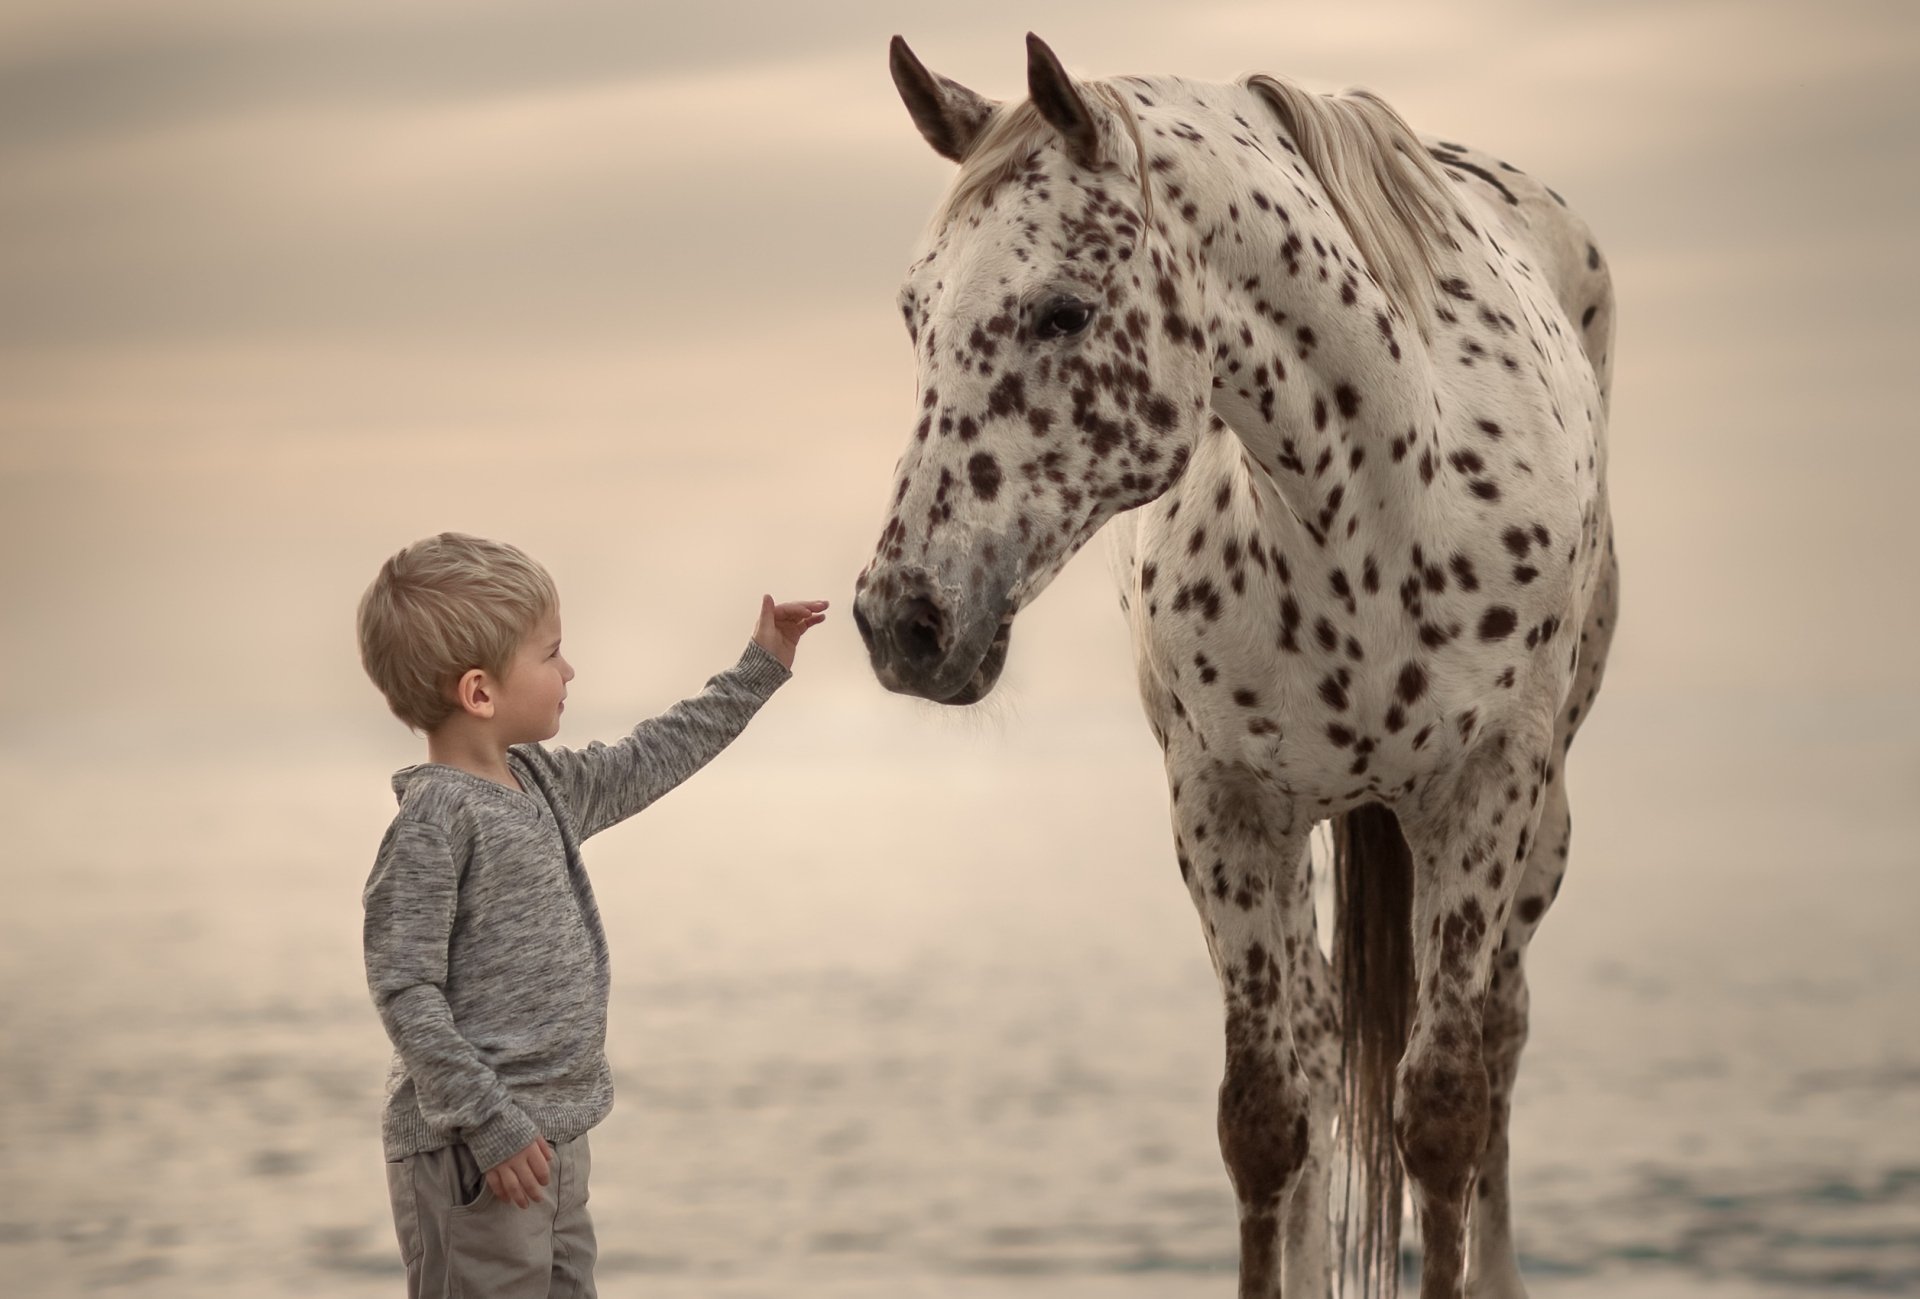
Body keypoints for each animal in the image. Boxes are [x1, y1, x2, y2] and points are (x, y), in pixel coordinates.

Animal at [852, 33, 1618, 1299]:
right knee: (1315, 1039)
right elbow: (1266, 1119)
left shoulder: (1484, 796)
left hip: (1538, 831)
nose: (901, 619)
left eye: (1061, 311)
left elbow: (1444, 1113)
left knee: (1498, 1043)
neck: (1372, 517)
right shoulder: (1224, 807)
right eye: (917, 311)